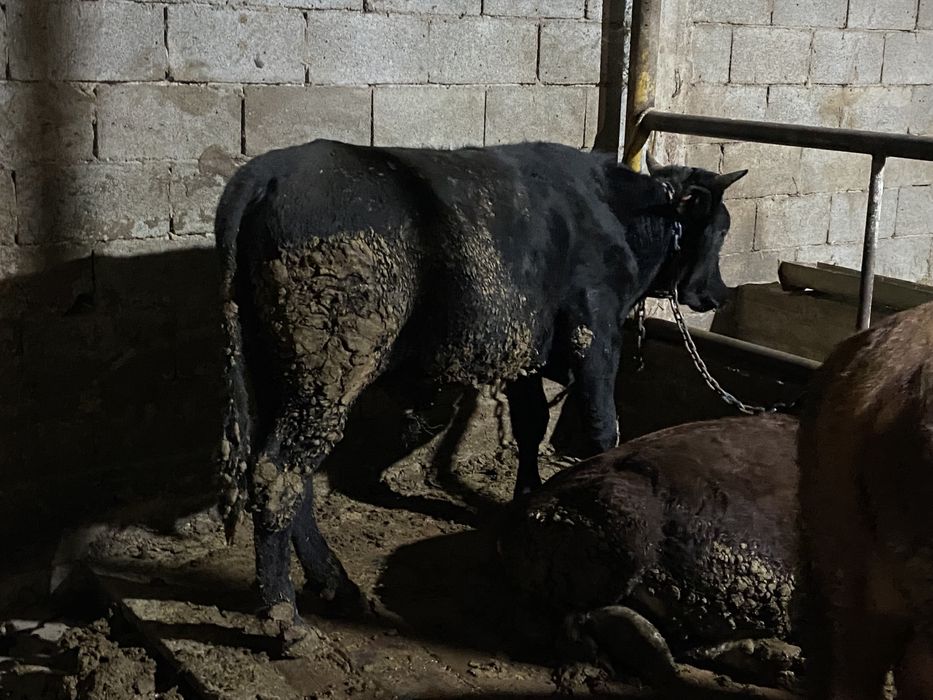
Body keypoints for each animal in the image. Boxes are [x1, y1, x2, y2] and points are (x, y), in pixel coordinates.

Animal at [213, 138, 747, 624]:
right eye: (721, 229)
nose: (719, 293)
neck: (614, 210)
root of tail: (267, 172)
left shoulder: (524, 350)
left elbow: (531, 424)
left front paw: (526, 496)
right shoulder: (593, 331)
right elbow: (602, 426)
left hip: (277, 372)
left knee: (291, 478)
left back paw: (335, 584)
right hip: (327, 373)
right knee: (279, 472)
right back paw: (284, 613)